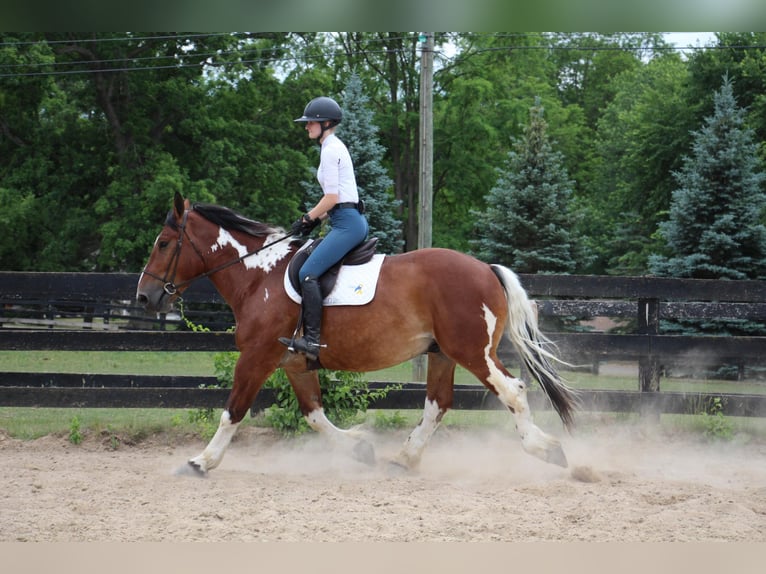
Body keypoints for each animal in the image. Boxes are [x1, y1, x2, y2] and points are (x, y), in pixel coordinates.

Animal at [140, 194, 584, 476]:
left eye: (163, 243)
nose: (144, 296)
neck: (259, 275)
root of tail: (485, 269)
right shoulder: (294, 362)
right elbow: (314, 416)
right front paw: (359, 447)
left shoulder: (258, 356)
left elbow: (232, 410)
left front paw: (201, 462)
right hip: (442, 353)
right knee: (437, 404)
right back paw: (404, 459)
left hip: (472, 351)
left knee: (512, 391)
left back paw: (550, 452)